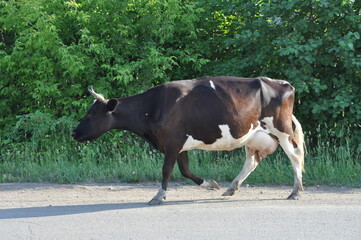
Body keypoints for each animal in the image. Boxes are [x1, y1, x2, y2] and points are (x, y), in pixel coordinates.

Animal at [71, 76, 302, 204]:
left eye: (91, 113)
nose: (74, 133)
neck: (153, 107)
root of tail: (283, 84)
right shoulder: (179, 146)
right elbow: (185, 171)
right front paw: (211, 184)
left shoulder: (173, 142)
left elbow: (167, 170)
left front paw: (159, 196)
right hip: (252, 135)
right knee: (252, 161)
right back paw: (231, 188)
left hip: (281, 130)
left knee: (295, 156)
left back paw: (296, 191)